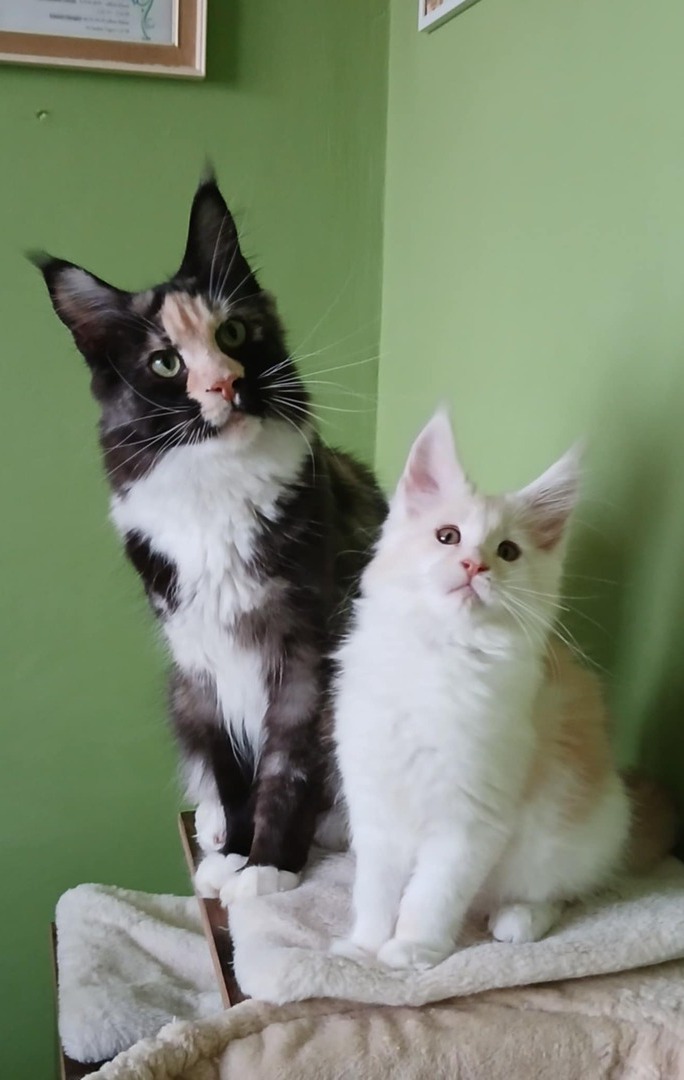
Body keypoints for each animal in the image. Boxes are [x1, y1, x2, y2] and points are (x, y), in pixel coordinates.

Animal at [34, 173, 386, 904]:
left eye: (235, 331)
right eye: (166, 363)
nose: (226, 383)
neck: (214, 495)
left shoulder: (306, 655)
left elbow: (286, 769)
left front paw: (270, 866)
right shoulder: (200, 662)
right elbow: (231, 769)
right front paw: (231, 855)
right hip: (179, 695)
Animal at [332, 409, 632, 969]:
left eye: (508, 551)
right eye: (447, 536)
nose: (475, 565)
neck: (438, 656)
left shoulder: (470, 818)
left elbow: (431, 895)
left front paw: (411, 948)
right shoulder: (375, 801)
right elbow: (375, 889)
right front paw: (363, 947)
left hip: (563, 832)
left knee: (557, 892)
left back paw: (518, 918)